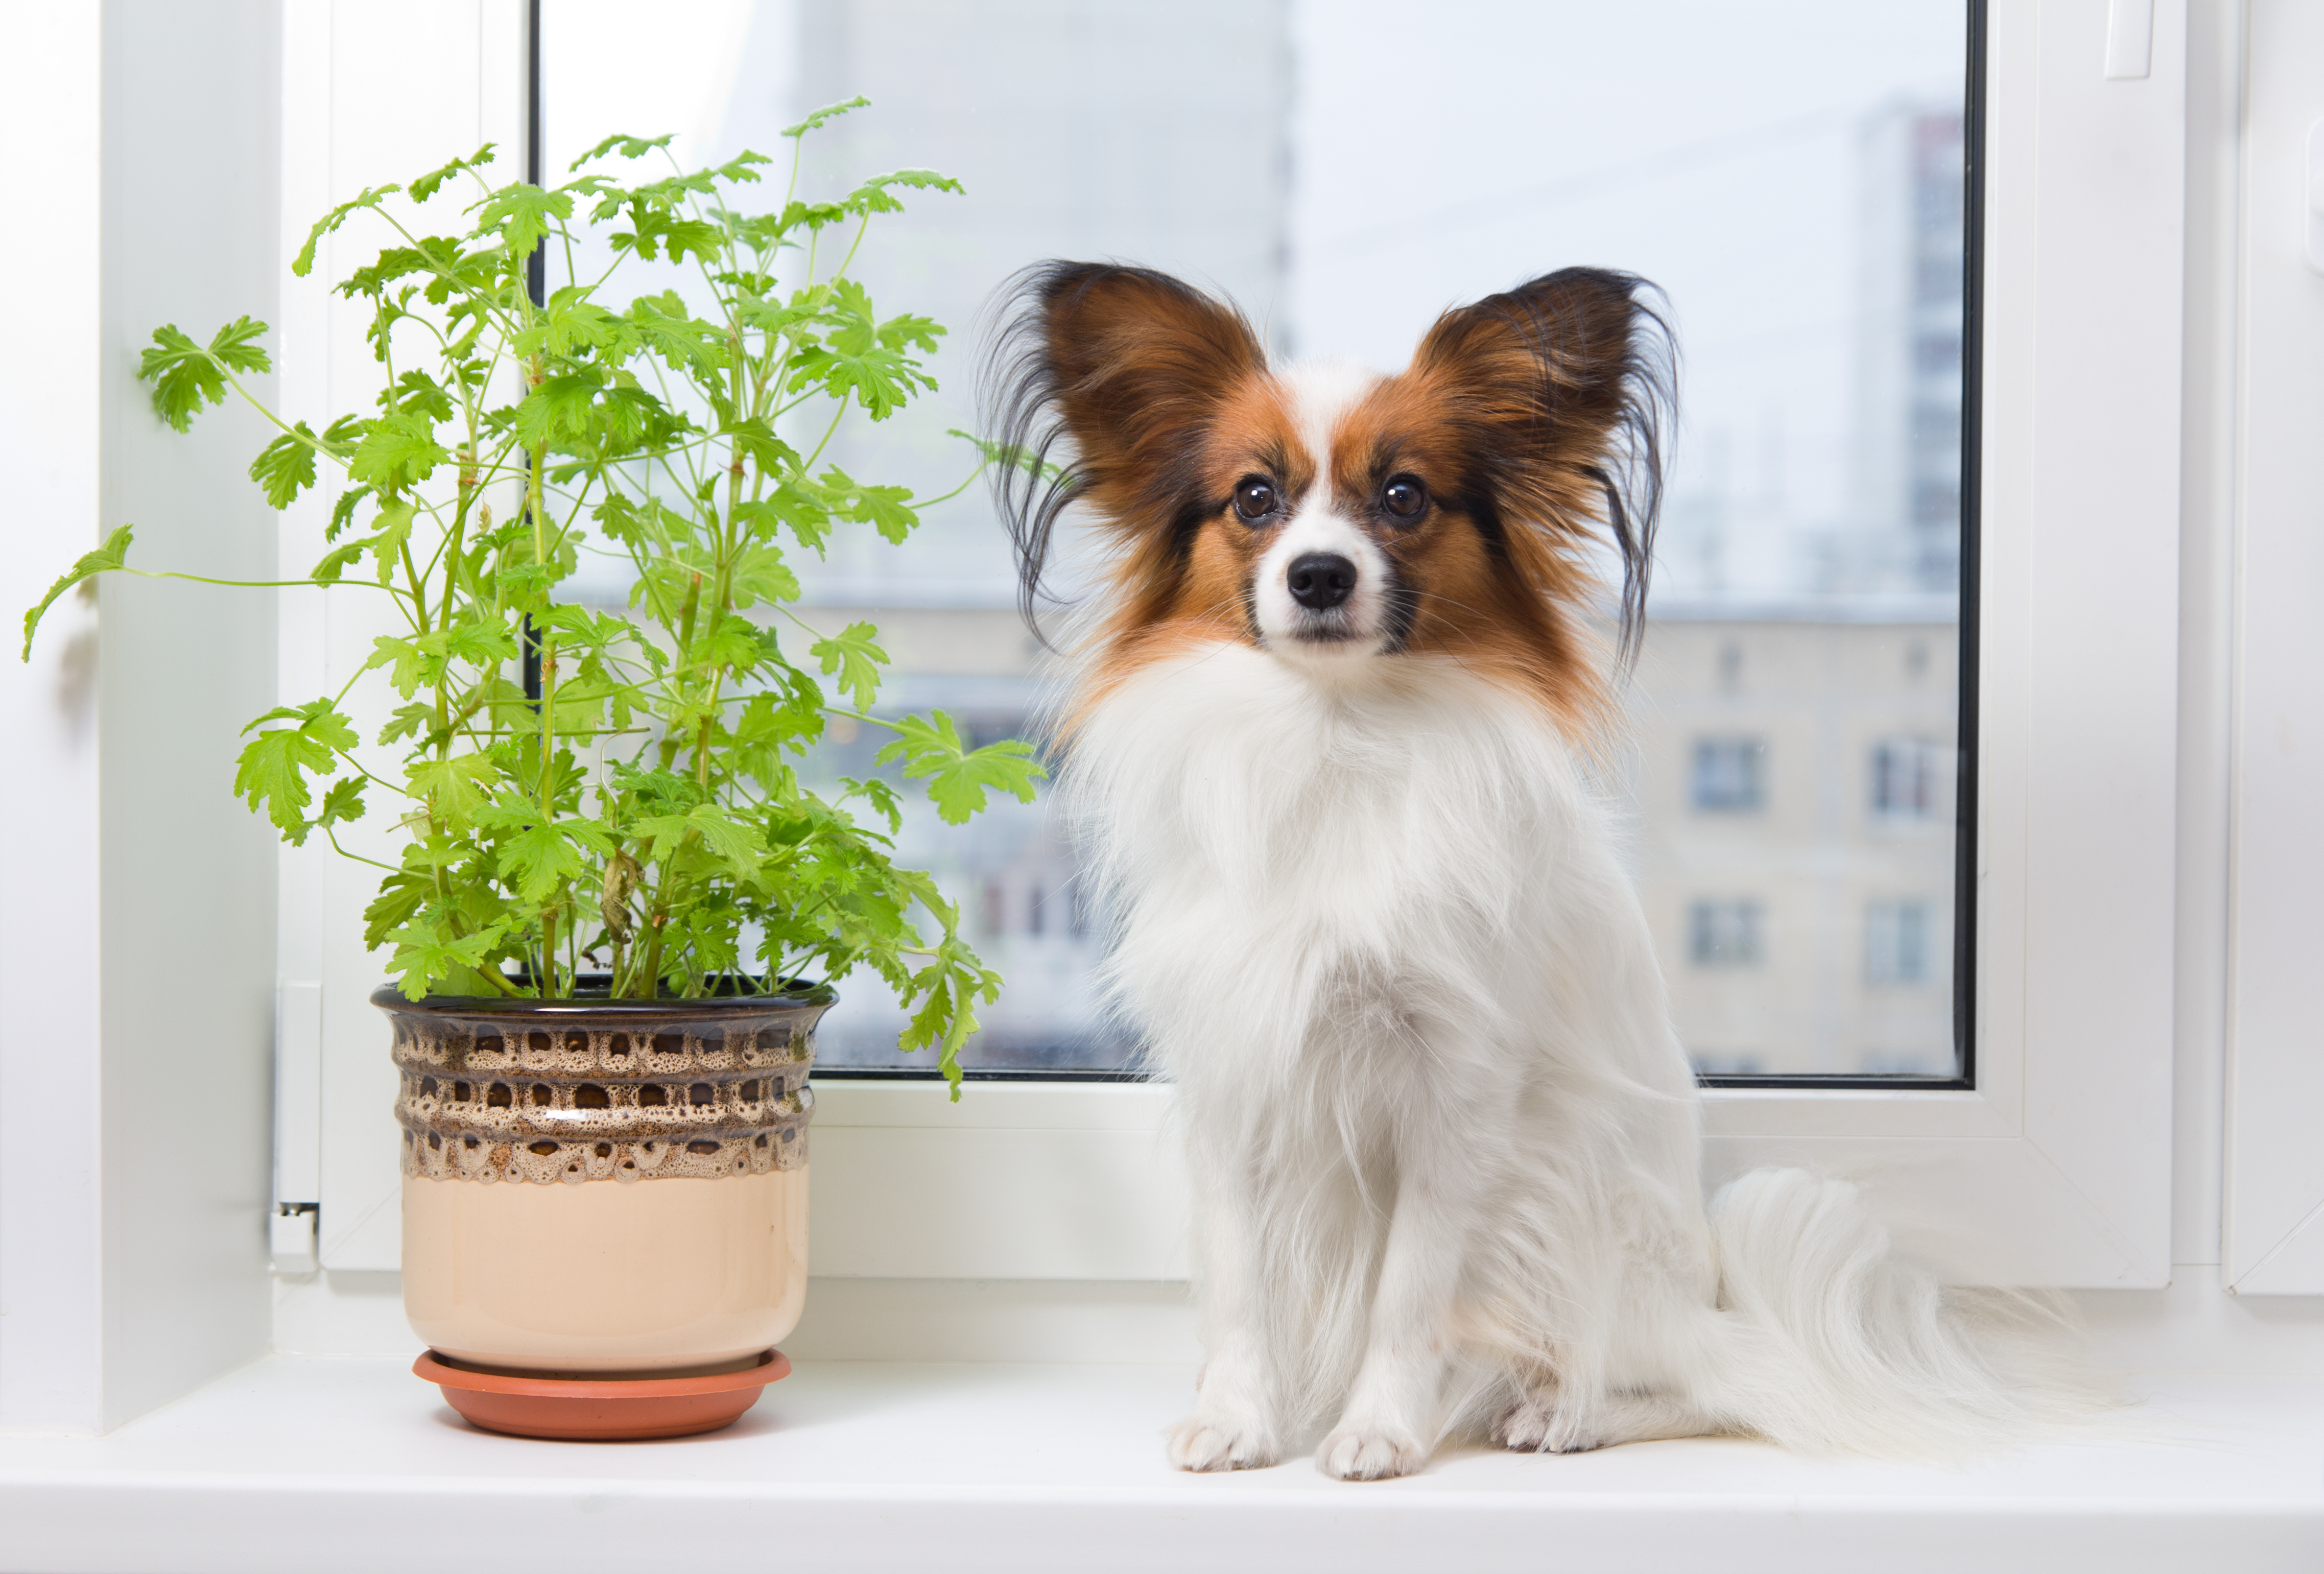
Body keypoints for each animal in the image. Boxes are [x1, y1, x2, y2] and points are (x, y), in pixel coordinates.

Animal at [981, 258, 2073, 1469]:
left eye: (1404, 496)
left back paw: (1567, 1411)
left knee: (1707, 1380)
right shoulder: (1238, 1074)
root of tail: (1704, 1296)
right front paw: (1238, 1416)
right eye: (1254, 499)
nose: (1318, 576)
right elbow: (1241, 1281)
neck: (1337, 739)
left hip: (1589, 1218)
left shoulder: (1459, 1092)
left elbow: (1410, 1291)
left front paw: (1379, 1429)